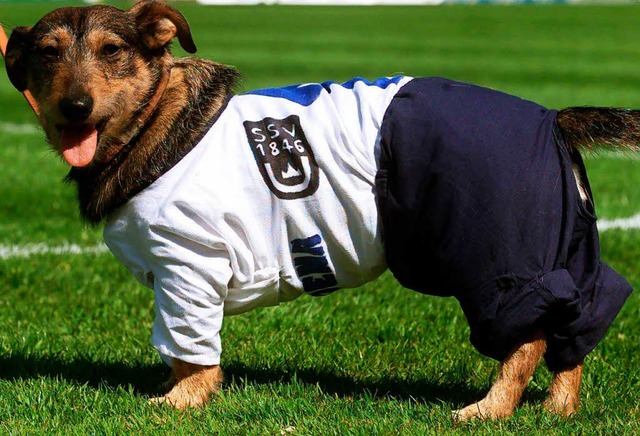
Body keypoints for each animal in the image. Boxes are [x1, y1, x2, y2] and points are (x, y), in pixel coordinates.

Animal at [3, 1, 636, 420]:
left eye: (112, 51)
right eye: (47, 54)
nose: (74, 106)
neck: (156, 124)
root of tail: (550, 116)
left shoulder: (189, 267)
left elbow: (192, 350)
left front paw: (180, 401)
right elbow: (178, 348)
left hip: (496, 253)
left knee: (527, 338)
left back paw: (490, 409)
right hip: (566, 246)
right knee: (574, 328)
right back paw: (558, 409)